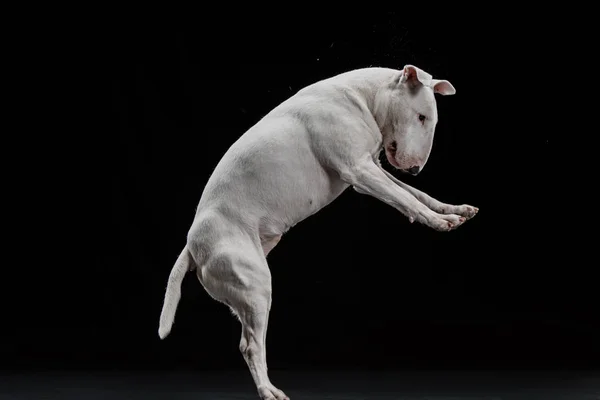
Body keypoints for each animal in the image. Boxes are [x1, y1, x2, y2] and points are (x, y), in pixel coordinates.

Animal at [158, 64, 478, 398]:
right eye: (421, 117)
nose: (415, 169)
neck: (364, 97)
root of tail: (192, 246)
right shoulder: (359, 171)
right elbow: (407, 200)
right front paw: (438, 221)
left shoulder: (372, 168)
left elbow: (416, 194)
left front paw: (454, 209)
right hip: (254, 285)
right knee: (250, 346)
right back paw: (269, 391)